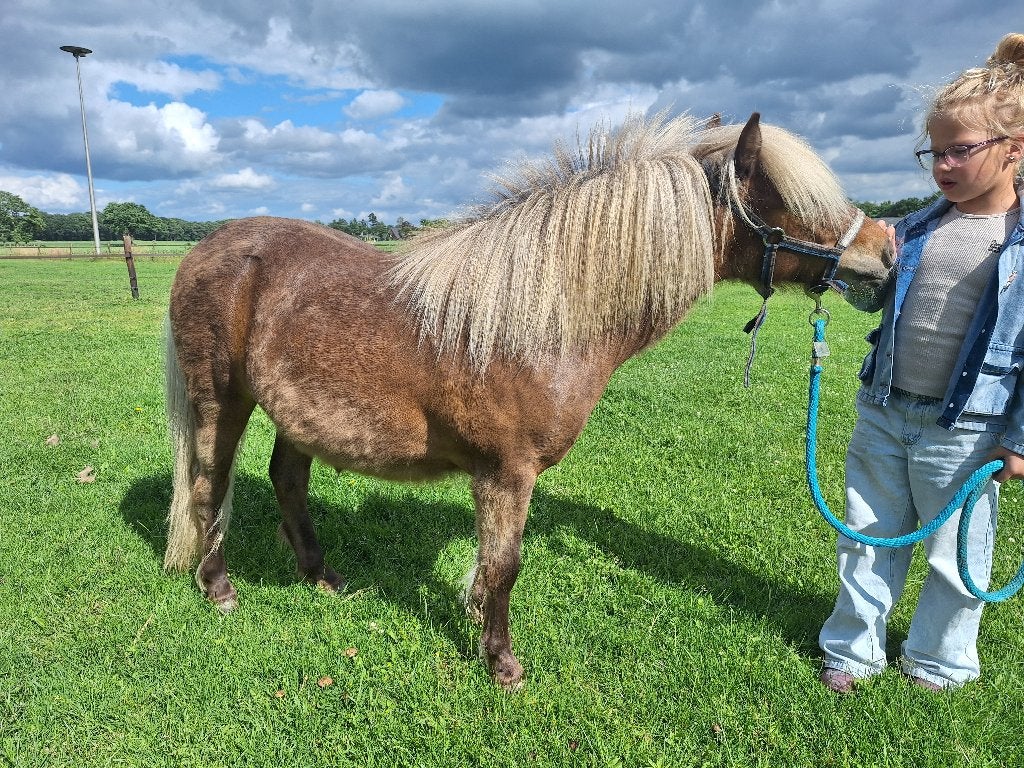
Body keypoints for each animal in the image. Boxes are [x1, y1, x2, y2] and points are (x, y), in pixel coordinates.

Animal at [164, 111, 894, 689]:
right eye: (796, 201)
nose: (887, 252)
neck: (542, 319)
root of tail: (209, 247)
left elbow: (491, 568)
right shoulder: (506, 473)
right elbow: (505, 567)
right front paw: (501, 663)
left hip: (298, 415)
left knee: (286, 480)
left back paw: (322, 576)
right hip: (221, 401)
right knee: (209, 483)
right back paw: (218, 586)